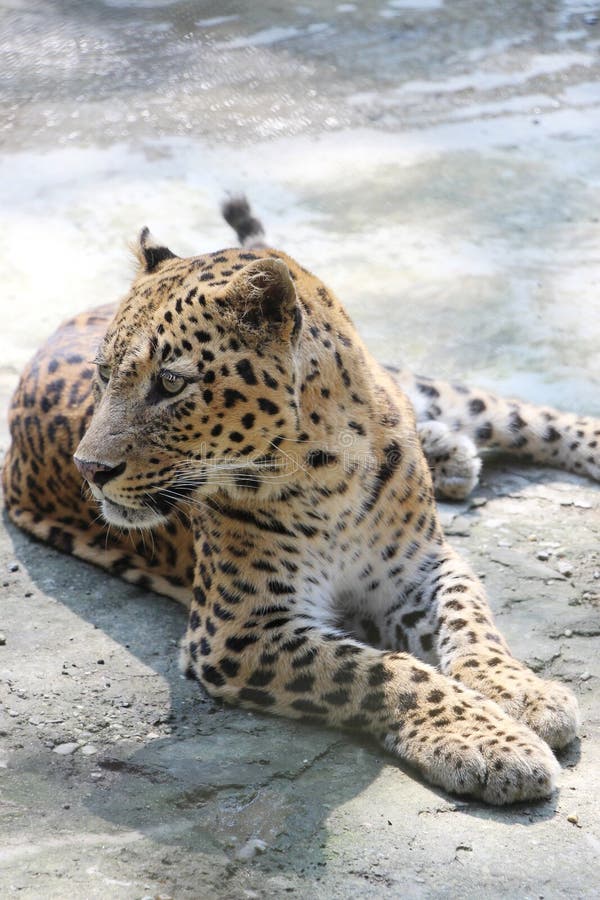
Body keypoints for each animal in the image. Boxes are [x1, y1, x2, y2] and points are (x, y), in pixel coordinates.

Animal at [3, 196, 599, 806]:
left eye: (170, 383)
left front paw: (521, 691)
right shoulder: (236, 631)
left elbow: (473, 624)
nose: (89, 469)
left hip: (432, 388)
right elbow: (383, 672)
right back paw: (451, 455)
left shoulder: (425, 568)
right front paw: (487, 740)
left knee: (524, 416)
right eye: (102, 375)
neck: (331, 469)